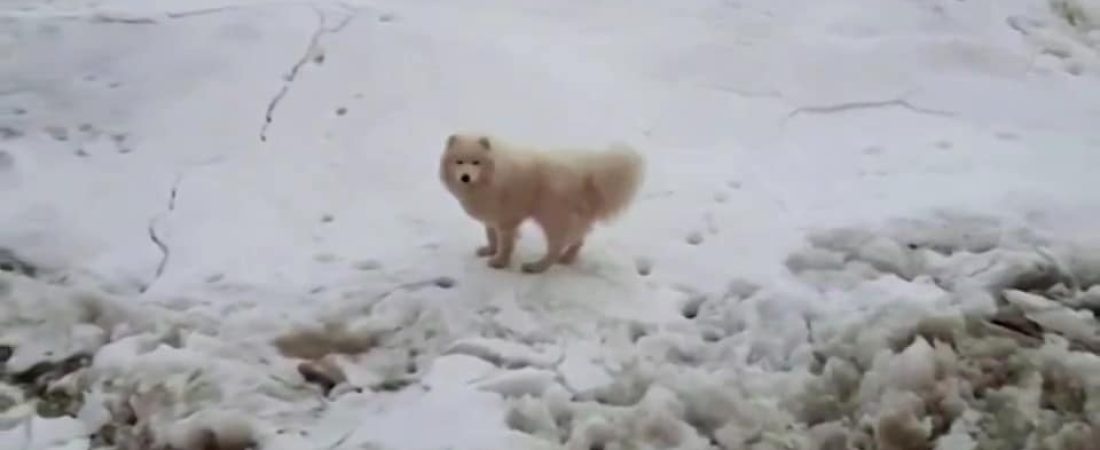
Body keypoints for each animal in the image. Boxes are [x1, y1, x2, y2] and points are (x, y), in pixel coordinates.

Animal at [437, 131, 642, 271]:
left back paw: (536, 267)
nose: (465, 177)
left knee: (555, 247)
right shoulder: (492, 216)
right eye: (459, 161)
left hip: (552, 218)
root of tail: (586, 173)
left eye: (476, 162)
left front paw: (499, 262)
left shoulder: (507, 219)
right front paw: (489, 250)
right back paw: (567, 259)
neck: (493, 176)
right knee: (578, 240)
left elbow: (505, 243)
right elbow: (491, 236)